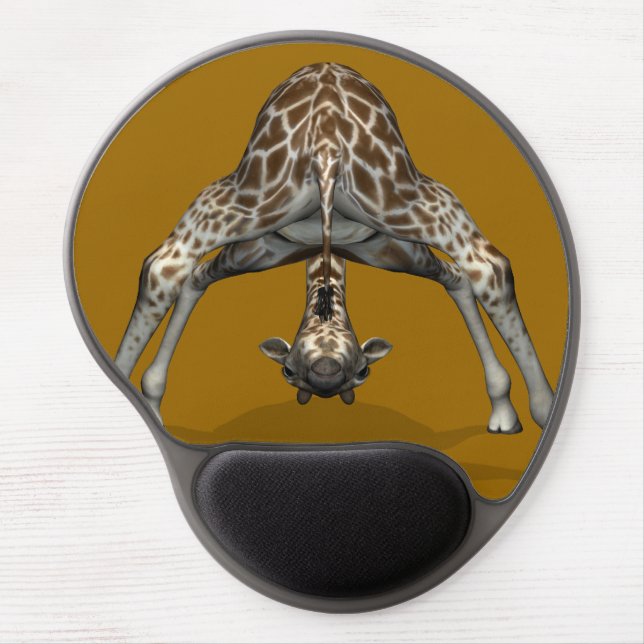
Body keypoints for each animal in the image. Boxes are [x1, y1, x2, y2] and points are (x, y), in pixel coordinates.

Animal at [115, 62, 554, 433]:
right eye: (288, 371)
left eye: (363, 372)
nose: (325, 373)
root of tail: (326, 143)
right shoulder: (262, 252)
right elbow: (194, 280)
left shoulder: (388, 251)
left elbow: (459, 281)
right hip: (383, 198)